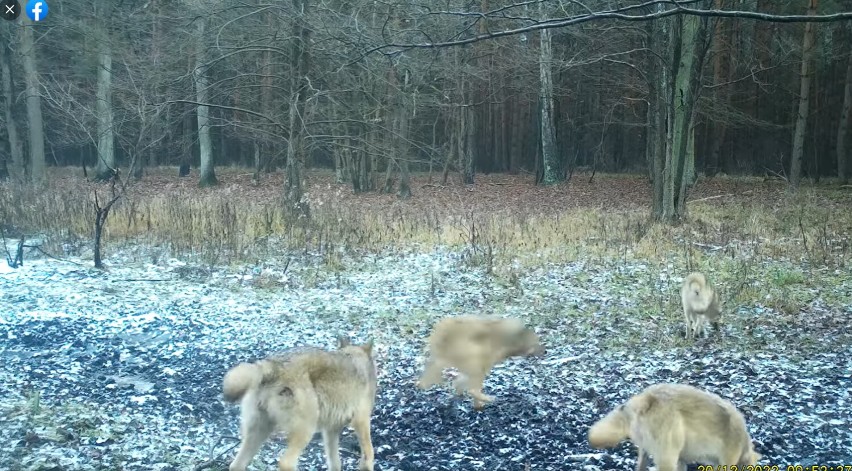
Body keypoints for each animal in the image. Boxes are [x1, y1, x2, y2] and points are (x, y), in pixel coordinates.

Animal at [223, 338, 376, 471]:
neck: (355, 357)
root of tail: (271, 366)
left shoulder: (330, 429)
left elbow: (335, 462)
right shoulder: (361, 420)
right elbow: (369, 453)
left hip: (259, 432)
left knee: (235, 465)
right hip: (306, 429)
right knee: (286, 463)